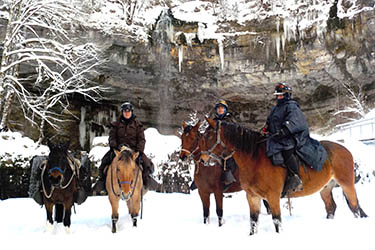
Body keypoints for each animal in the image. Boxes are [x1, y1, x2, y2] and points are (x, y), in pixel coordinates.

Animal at [201, 117, 368, 234]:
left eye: (209, 136)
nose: (203, 159)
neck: (255, 159)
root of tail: (345, 149)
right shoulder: (252, 197)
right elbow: (253, 222)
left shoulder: (273, 197)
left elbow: (277, 221)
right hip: (326, 189)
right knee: (331, 208)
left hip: (347, 185)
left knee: (355, 207)